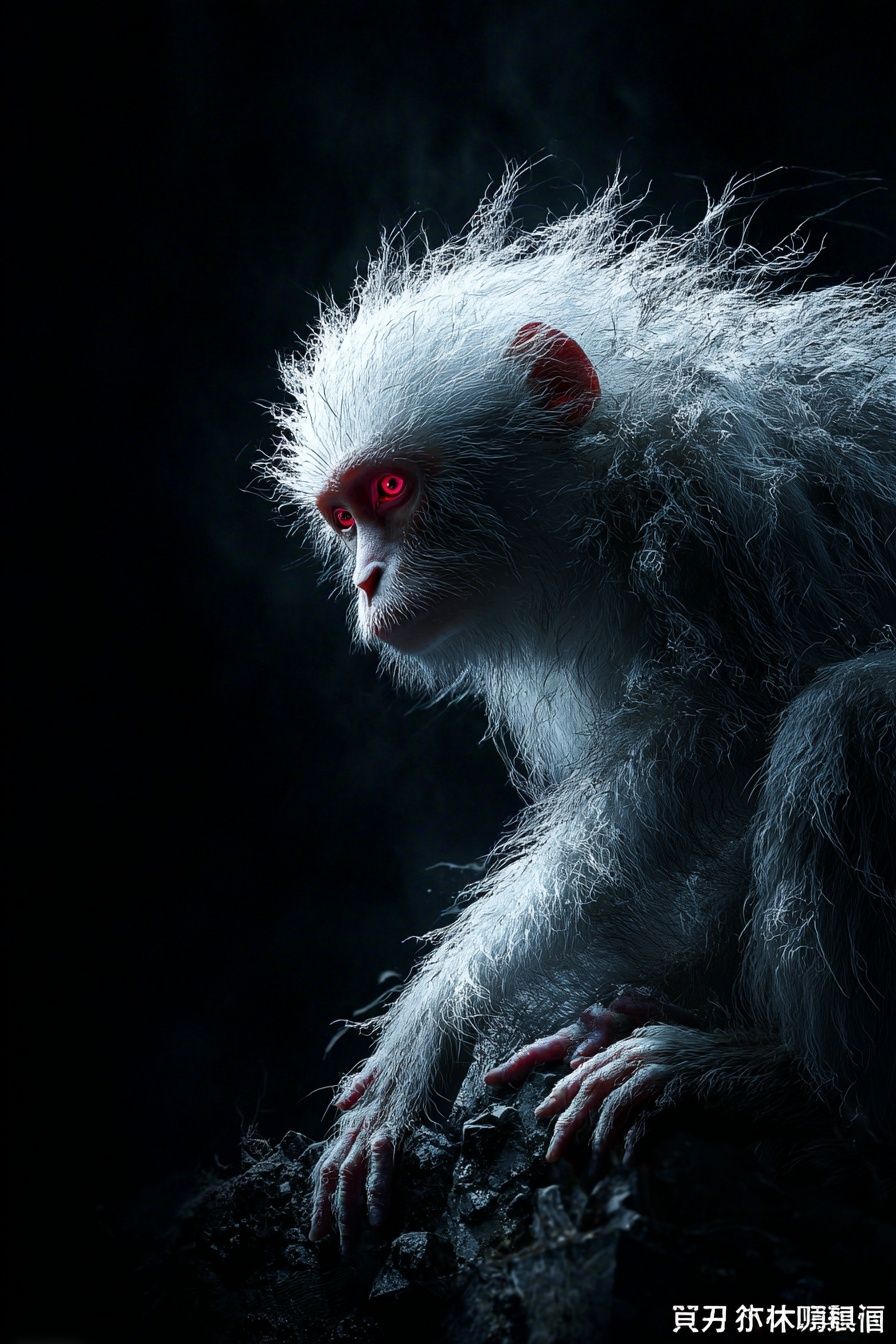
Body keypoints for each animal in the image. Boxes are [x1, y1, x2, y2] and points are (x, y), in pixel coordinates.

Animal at [264, 171, 896, 1251]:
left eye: (392, 487)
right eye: (345, 518)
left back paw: (803, 1086)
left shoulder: (707, 517)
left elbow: (697, 762)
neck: (616, 478)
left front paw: (442, 1018)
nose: (365, 582)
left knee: (843, 720)